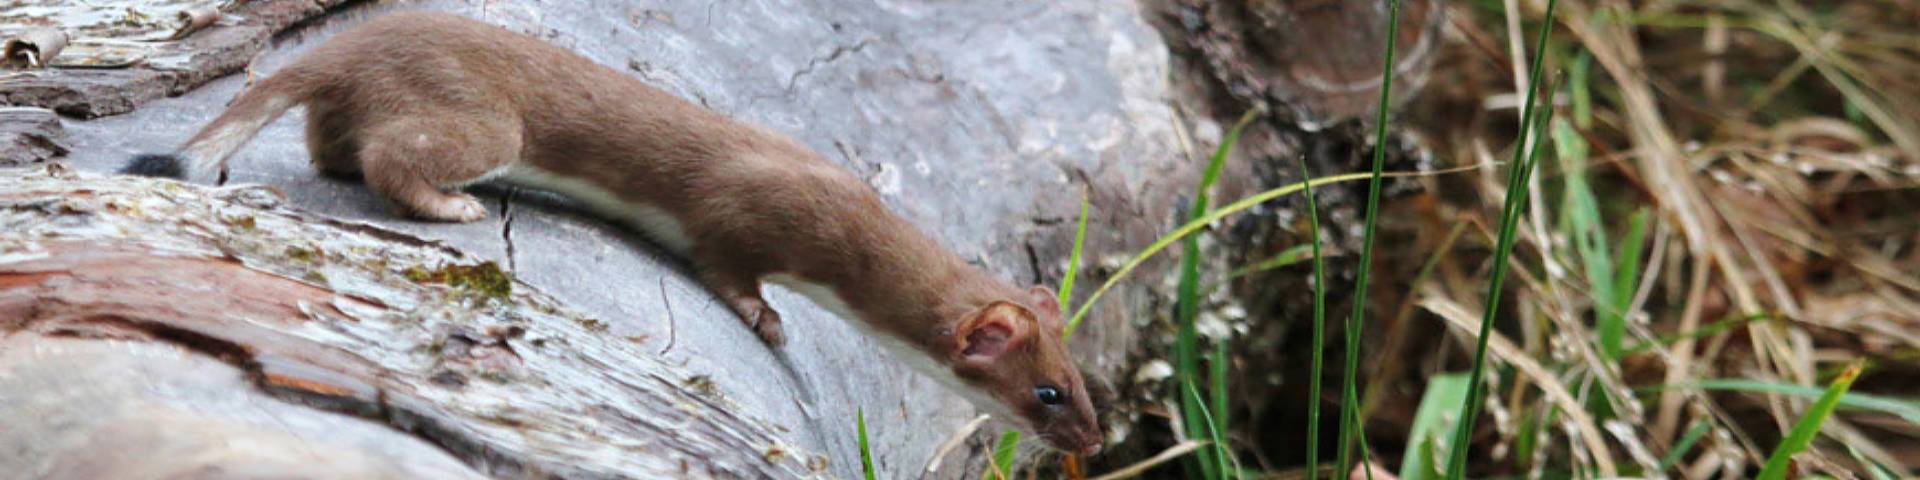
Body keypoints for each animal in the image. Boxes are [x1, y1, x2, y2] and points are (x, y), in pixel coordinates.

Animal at [120, 11, 1105, 453]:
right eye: (1049, 393)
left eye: (1084, 384)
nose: (1095, 444)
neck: (844, 209)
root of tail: (360, 37)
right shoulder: (749, 211)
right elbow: (726, 257)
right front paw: (768, 318)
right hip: (486, 123)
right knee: (389, 153)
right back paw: (452, 205)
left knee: (332, 142)